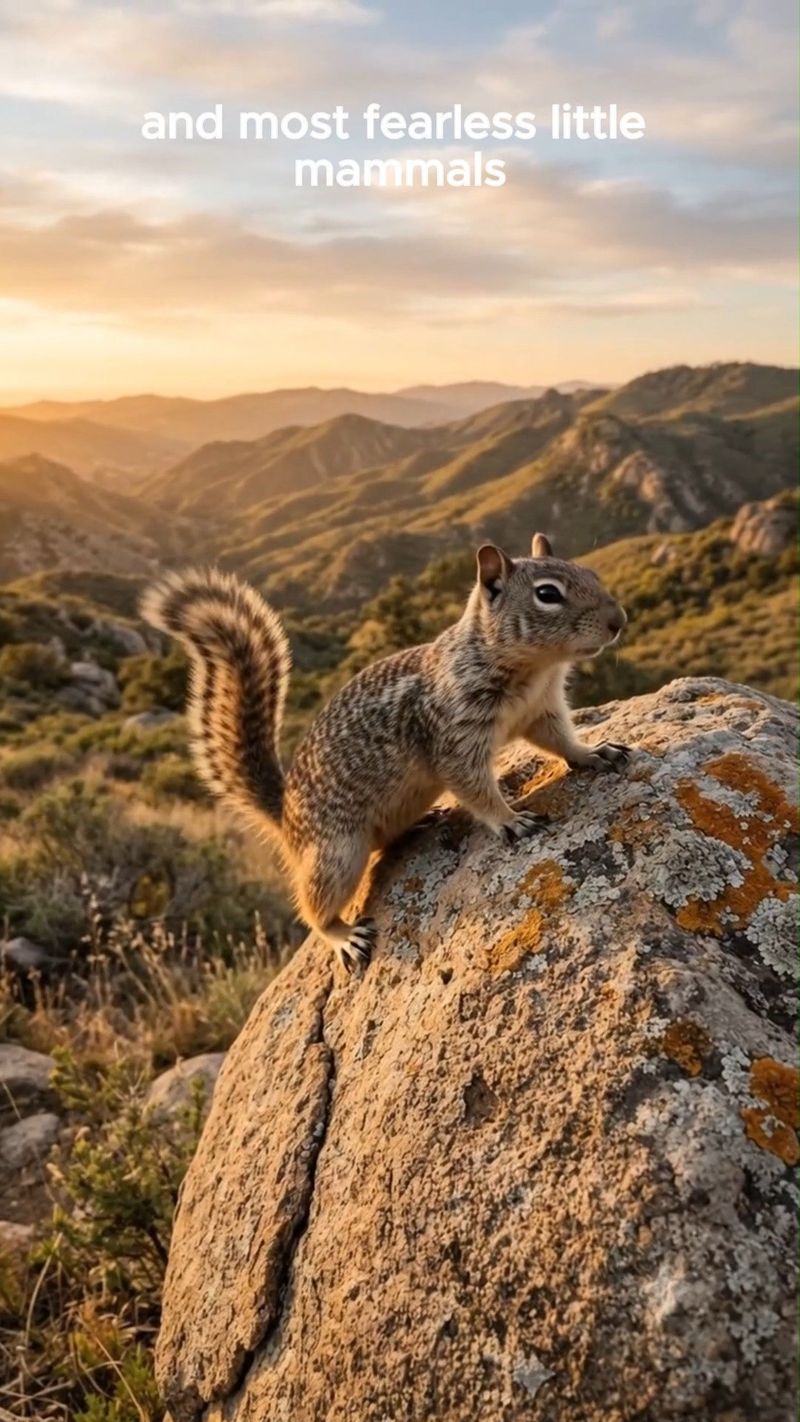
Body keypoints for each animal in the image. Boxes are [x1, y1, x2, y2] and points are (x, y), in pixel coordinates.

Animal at [141, 533, 629, 973]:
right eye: (548, 594)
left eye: (590, 573)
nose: (619, 619)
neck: (532, 669)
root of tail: (284, 813)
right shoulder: (454, 736)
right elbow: (475, 786)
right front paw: (510, 819)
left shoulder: (541, 710)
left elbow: (561, 740)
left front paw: (594, 752)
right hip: (337, 856)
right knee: (313, 907)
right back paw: (343, 935)